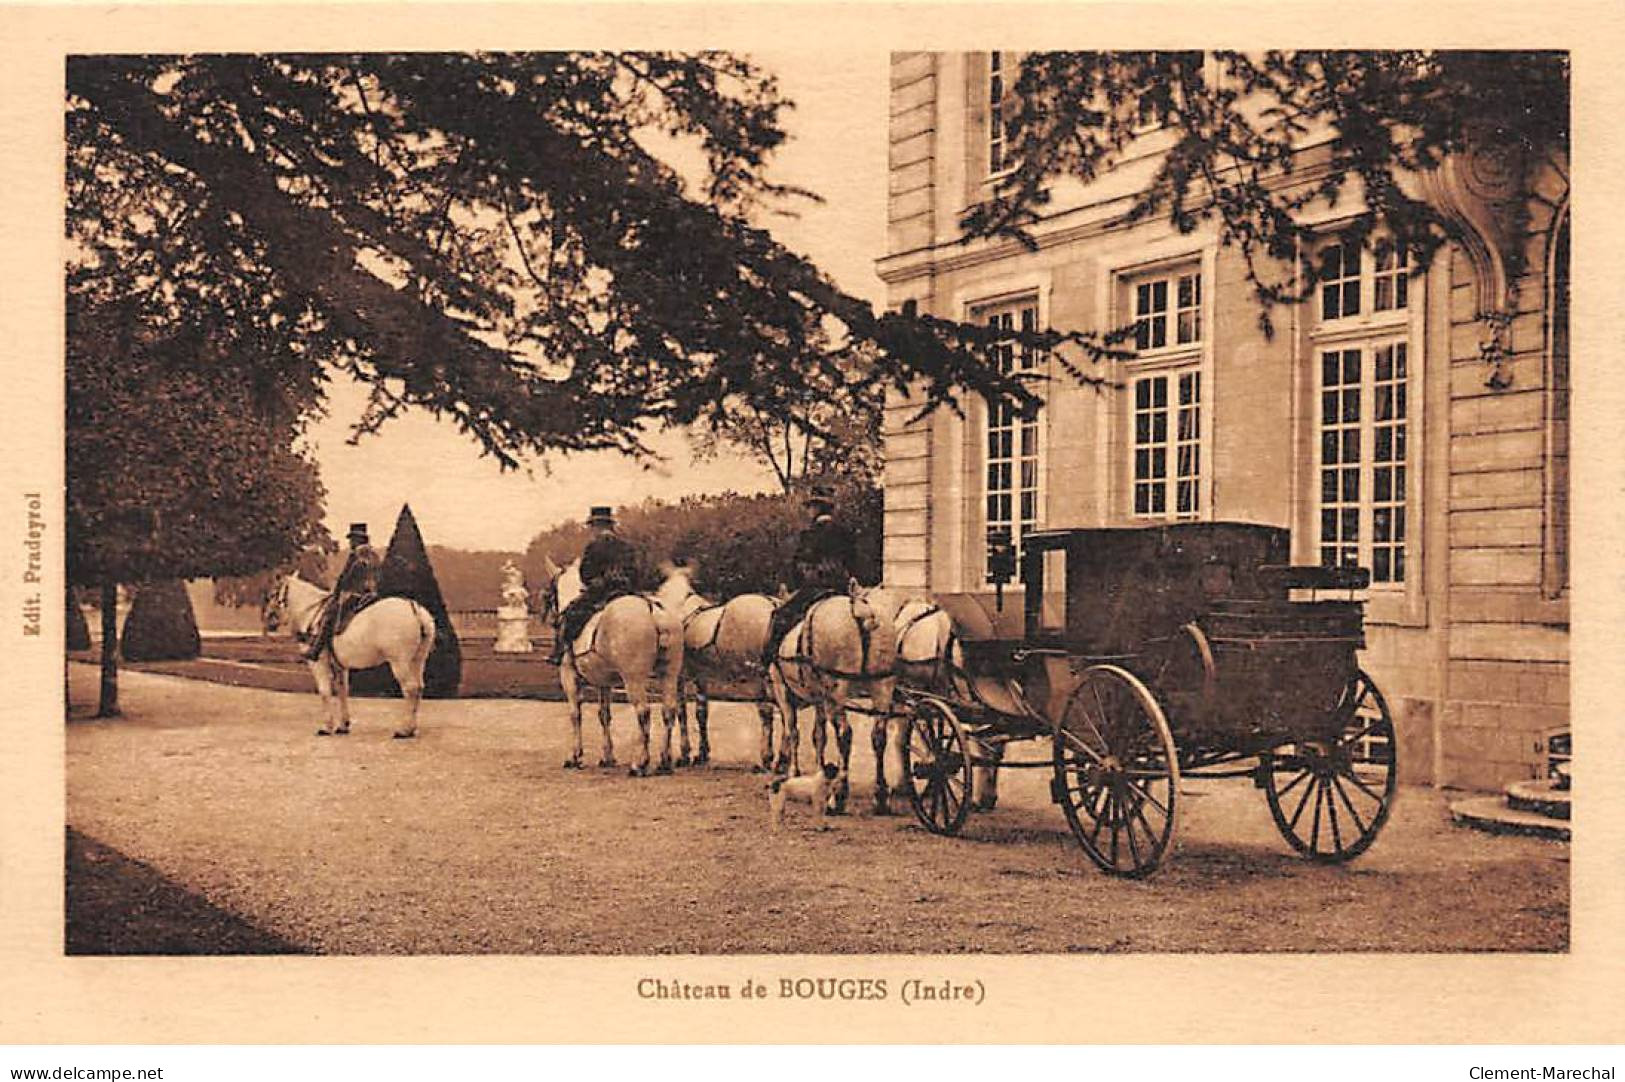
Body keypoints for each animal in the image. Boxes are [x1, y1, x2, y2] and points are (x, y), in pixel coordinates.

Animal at [264, 578, 435, 737]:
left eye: (273, 594)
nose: (267, 618)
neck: (312, 615)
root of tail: (415, 609)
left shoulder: (319, 663)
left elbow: (325, 692)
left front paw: (327, 727)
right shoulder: (340, 667)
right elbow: (342, 691)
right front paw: (343, 725)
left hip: (399, 663)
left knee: (410, 689)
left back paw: (404, 729)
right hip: (418, 660)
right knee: (419, 687)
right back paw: (412, 728)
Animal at [536, 555, 682, 776]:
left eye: (550, 593)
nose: (551, 619)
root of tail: (651, 609)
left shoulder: (569, 677)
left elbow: (575, 714)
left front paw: (575, 756)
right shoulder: (604, 683)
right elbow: (604, 715)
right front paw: (608, 756)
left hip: (634, 678)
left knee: (643, 712)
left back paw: (640, 762)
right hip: (669, 674)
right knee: (669, 711)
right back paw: (665, 761)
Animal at [650, 558, 783, 770]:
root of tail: (773, 604)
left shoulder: (679, 676)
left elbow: (682, 712)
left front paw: (684, 753)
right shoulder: (701, 678)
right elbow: (701, 712)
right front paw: (702, 753)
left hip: (757, 677)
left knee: (767, 712)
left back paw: (767, 757)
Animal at [770, 581, 910, 809]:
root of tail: (860, 610)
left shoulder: (782, 691)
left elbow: (793, 732)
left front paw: (794, 772)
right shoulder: (820, 698)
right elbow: (819, 735)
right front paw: (819, 773)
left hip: (837, 690)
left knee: (845, 734)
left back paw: (839, 795)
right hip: (882, 686)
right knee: (879, 736)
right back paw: (880, 794)